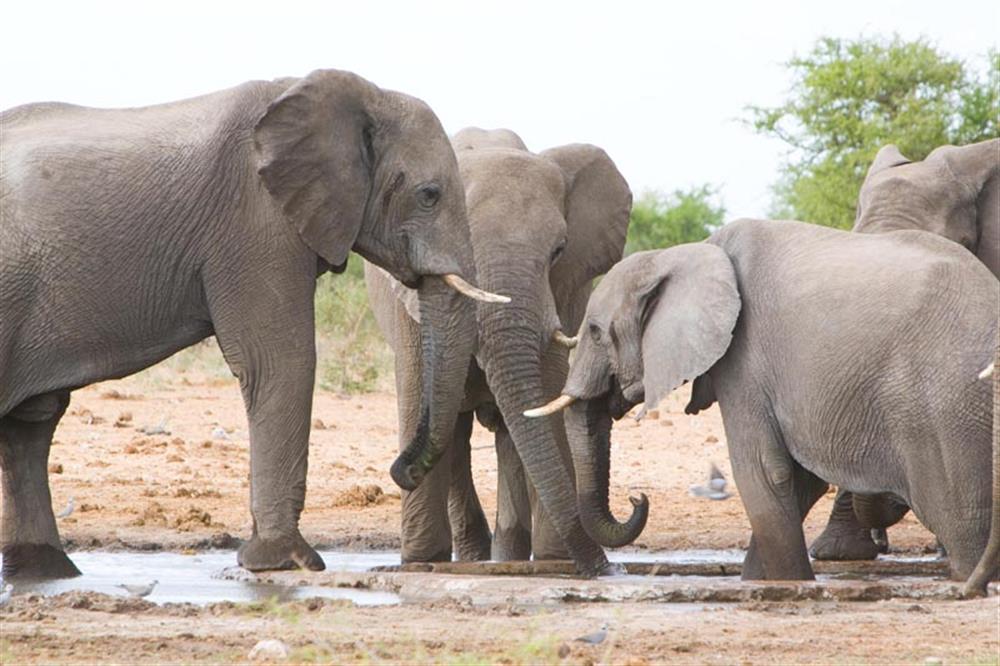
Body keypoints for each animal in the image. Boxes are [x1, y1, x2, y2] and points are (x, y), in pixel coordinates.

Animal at [0, 68, 504, 576]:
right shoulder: (257, 219)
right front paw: (287, 562)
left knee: (32, 424)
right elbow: (282, 361)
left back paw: (46, 570)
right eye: (429, 195)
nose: (400, 471)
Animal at [364, 126, 636, 572]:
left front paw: (555, 562)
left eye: (558, 251)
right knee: (455, 427)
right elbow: (421, 391)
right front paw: (419, 562)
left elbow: (543, 393)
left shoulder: (563, 290)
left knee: (504, 431)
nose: (609, 568)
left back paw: (504, 556)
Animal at [528, 219, 996, 580]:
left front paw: (793, 586)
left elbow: (763, 472)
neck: (685, 255)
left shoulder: (746, 359)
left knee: (962, 528)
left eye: (593, 332)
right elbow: (799, 482)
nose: (637, 499)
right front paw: (763, 582)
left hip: (944, 412)